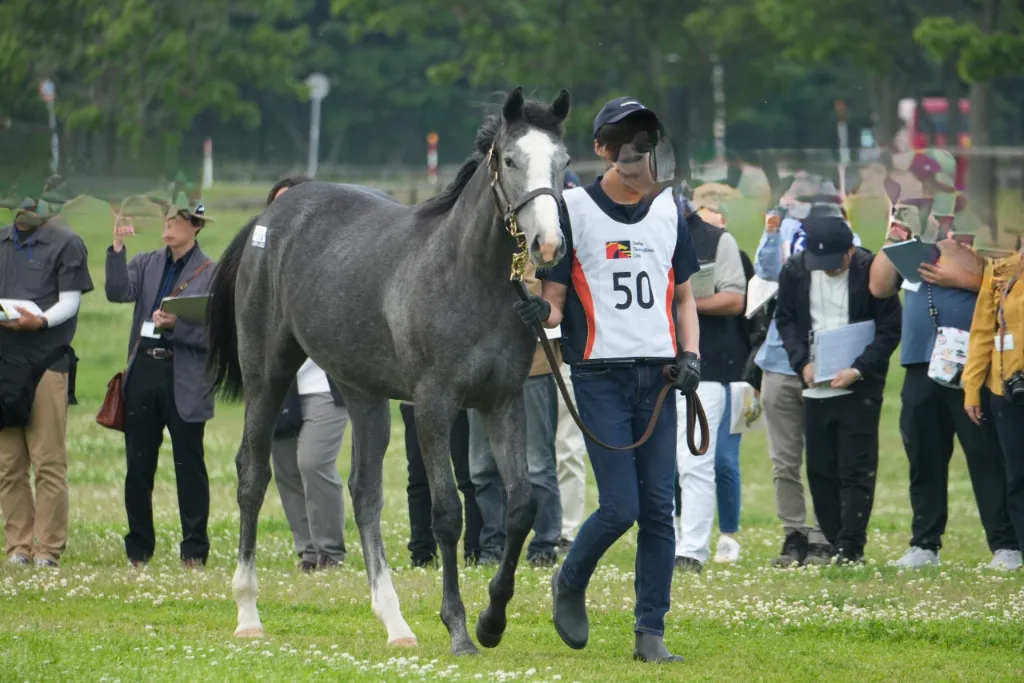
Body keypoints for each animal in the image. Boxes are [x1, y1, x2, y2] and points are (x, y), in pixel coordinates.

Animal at [206, 87, 572, 656]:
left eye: (563, 162)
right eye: (510, 160)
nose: (548, 245)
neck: (467, 277)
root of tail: (273, 215)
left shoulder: (502, 402)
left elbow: (520, 507)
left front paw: (492, 620)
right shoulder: (434, 406)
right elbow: (447, 513)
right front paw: (459, 628)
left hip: (361, 392)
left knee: (364, 493)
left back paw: (395, 623)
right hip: (267, 372)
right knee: (252, 473)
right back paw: (248, 613)